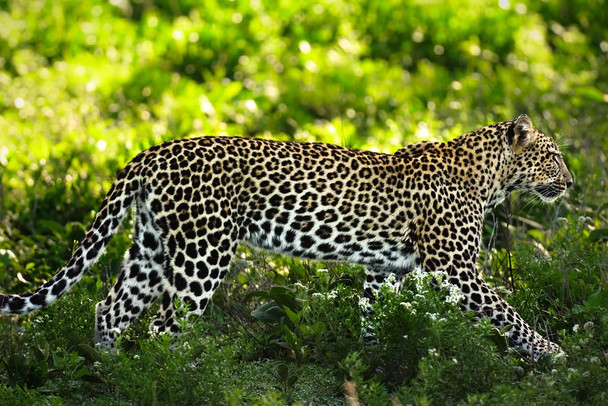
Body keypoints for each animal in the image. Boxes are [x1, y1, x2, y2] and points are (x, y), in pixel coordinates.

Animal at [0, 114, 572, 358]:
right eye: (553, 156)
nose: (571, 182)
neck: (490, 177)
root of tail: (153, 151)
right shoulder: (455, 268)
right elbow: (508, 313)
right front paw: (552, 353)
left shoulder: (384, 269)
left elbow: (374, 318)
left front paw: (371, 362)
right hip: (202, 255)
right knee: (164, 329)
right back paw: (178, 377)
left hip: (152, 250)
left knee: (109, 309)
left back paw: (112, 371)